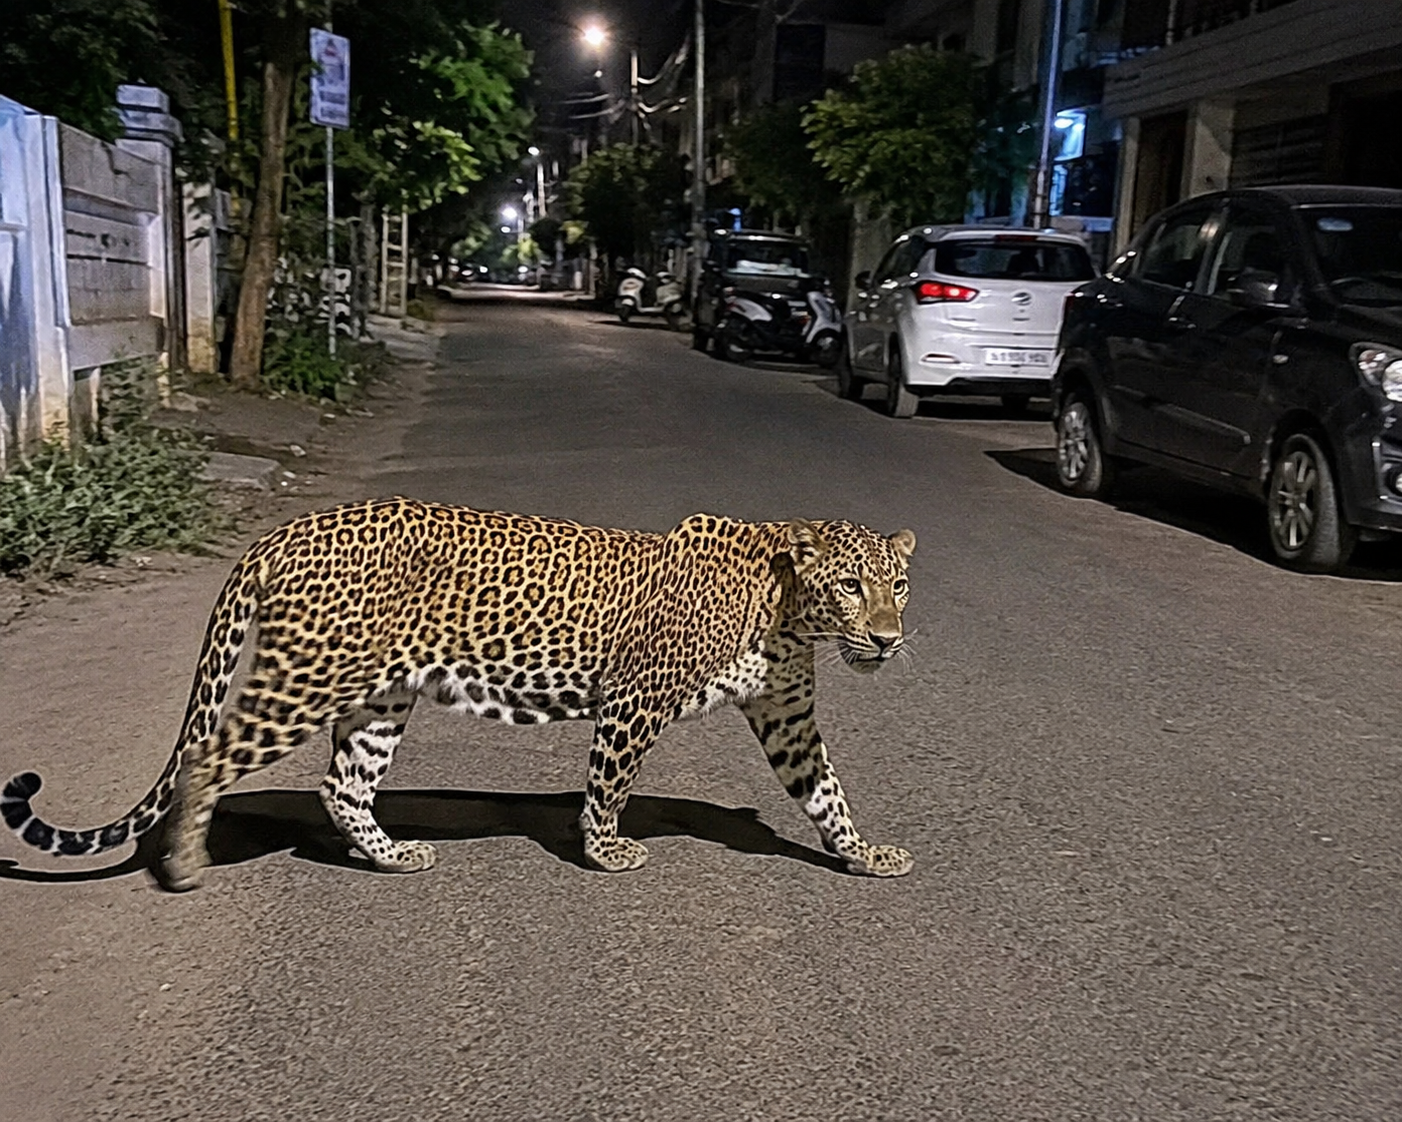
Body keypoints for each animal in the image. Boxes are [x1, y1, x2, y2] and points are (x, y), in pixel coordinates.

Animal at [2, 497, 917, 890]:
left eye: (899, 585)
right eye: (849, 585)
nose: (887, 638)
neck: (788, 615)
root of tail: (282, 531)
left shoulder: (787, 716)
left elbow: (826, 790)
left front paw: (865, 854)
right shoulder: (635, 700)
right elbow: (609, 785)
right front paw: (605, 852)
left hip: (376, 698)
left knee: (342, 785)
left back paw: (392, 857)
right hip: (302, 682)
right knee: (208, 759)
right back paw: (185, 865)